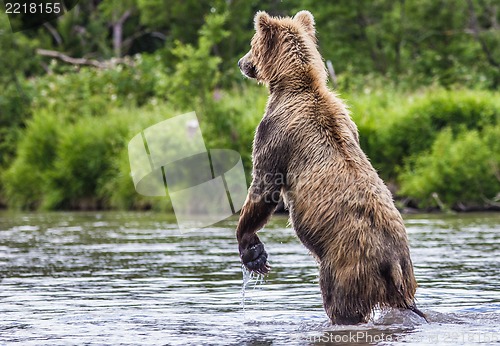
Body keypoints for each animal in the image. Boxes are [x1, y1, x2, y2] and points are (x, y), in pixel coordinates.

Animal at [235, 10, 426, 324]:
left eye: (252, 44)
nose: (242, 62)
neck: (294, 85)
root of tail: (392, 264)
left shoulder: (274, 132)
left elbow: (264, 186)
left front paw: (252, 251)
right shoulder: (349, 120)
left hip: (346, 266)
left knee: (339, 302)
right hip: (406, 274)